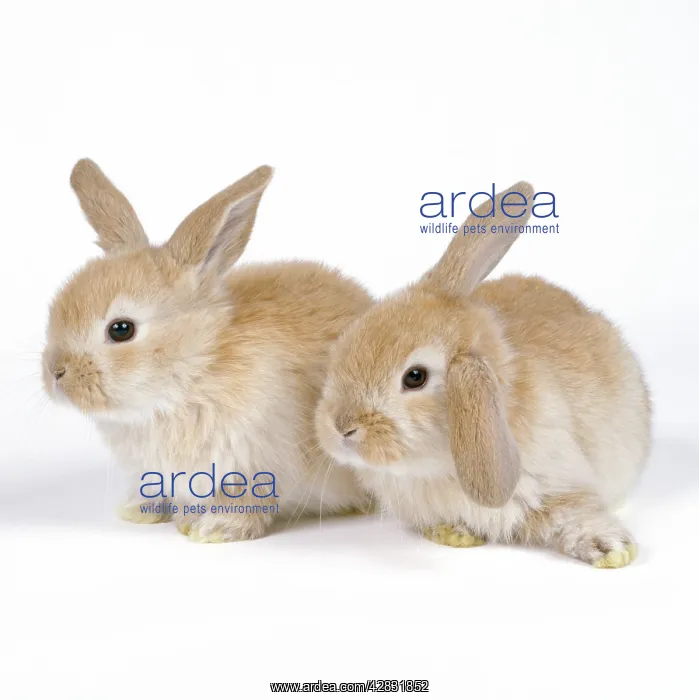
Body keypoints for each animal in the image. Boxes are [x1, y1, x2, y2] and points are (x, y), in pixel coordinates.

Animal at [42, 159, 373, 542]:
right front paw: (140, 512)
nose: (56, 374)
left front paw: (213, 530)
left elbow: (248, 502)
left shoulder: (255, 464)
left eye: (121, 329)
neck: (197, 366)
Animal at [315, 181, 652, 568]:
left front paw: (612, 550)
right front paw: (454, 535)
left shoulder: (560, 486)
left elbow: (573, 515)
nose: (340, 427)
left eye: (415, 377)